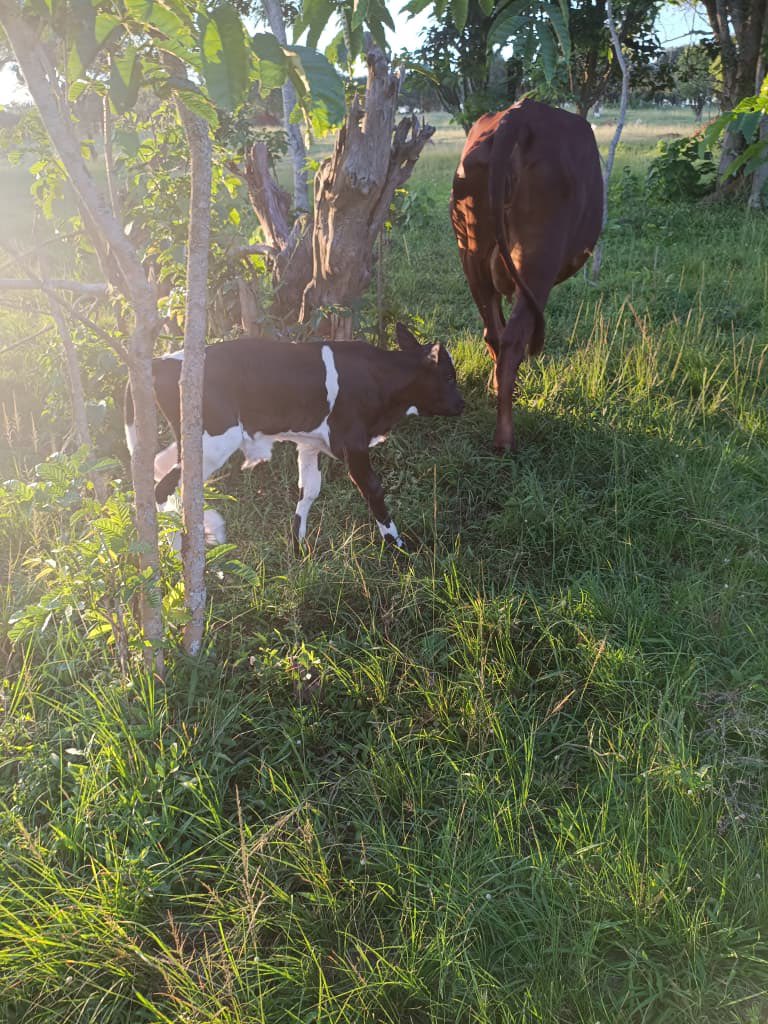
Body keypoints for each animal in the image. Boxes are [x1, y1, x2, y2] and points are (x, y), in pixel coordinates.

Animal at [124, 324, 464, 552]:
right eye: (448, 376)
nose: (462, 405)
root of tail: (162, 361)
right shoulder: (352, 443)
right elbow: (373, 490)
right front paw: (398, 546)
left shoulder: (310, 443)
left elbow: (309, 490)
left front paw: (299, 546)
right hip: (217, 439)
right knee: (165, 486)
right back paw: (177, 549)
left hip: (193, 439)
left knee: (158, 469)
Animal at [450, 98, 603, 451]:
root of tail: (518, 116)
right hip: (538, 262)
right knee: (513, 340)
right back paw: (505, 438)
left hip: (471, 253)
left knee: (493, 332)